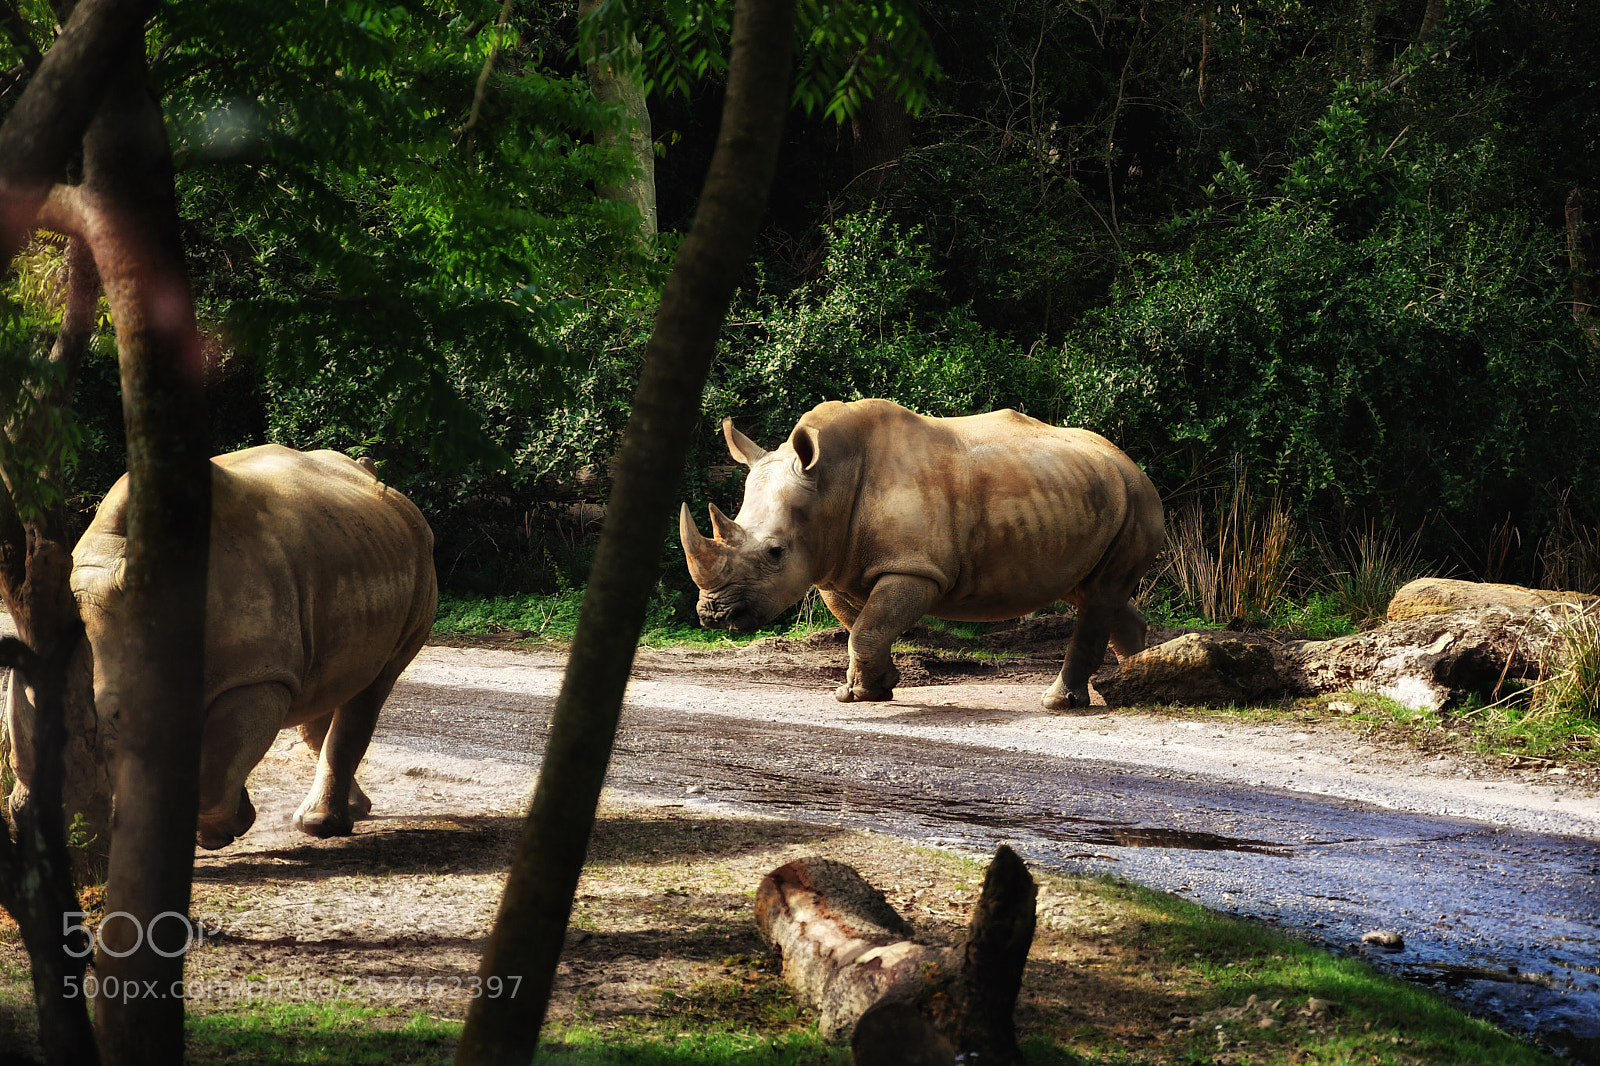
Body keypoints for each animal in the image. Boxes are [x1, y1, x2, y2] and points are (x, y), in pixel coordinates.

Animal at [4, 444, 437, 851]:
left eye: (117, 718)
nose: (30, 823)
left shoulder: (256, 674)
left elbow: (214, 772)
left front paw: (222, 831)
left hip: (420, 557)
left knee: (375, 683)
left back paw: (319, 825)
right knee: (326, 684)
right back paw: (353, 810)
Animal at [679, 399, 1163, 709]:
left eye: (776, 552)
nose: (713, 615)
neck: (829, 485)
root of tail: (1130, 462)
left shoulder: (915, 569)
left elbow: (868, 628)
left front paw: (861, 694)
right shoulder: (832, 566)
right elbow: (862, 625)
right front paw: (873, 689)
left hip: (1135, 498)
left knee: (1099, 595)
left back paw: (1060, 702)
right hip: (1085, 495)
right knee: (1092, 593)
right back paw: (1135, 681)